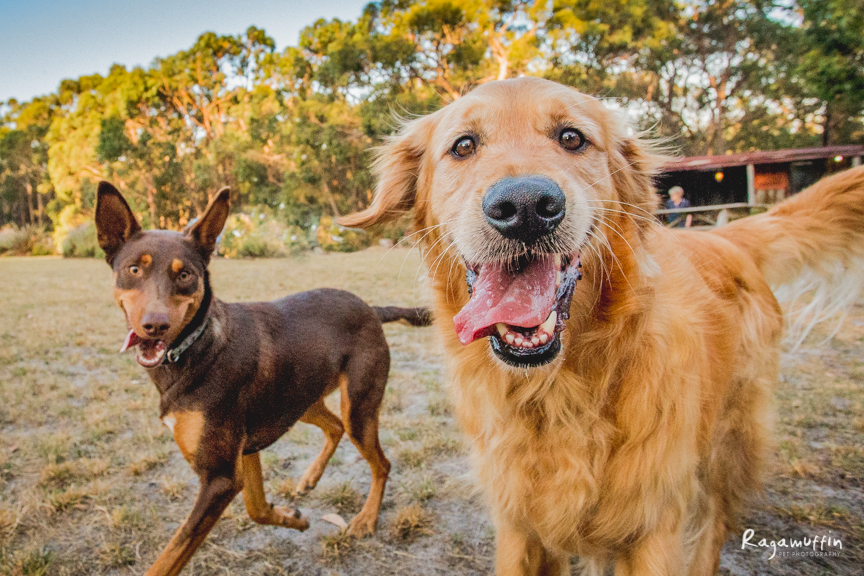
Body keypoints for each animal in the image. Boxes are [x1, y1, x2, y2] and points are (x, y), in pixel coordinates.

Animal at [94, 183, 432, 576]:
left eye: (185, 275)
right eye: (134, 269)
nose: (155, 325)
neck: (197, 345)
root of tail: (371, 309)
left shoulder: (220, 477)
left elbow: (170, 556)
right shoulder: (244, 452)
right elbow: (256, 508)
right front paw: (292, 518)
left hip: (358, 409)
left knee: (380, 461)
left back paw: (366, 519)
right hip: (299, 398)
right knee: (334, 427)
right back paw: (311, 478)